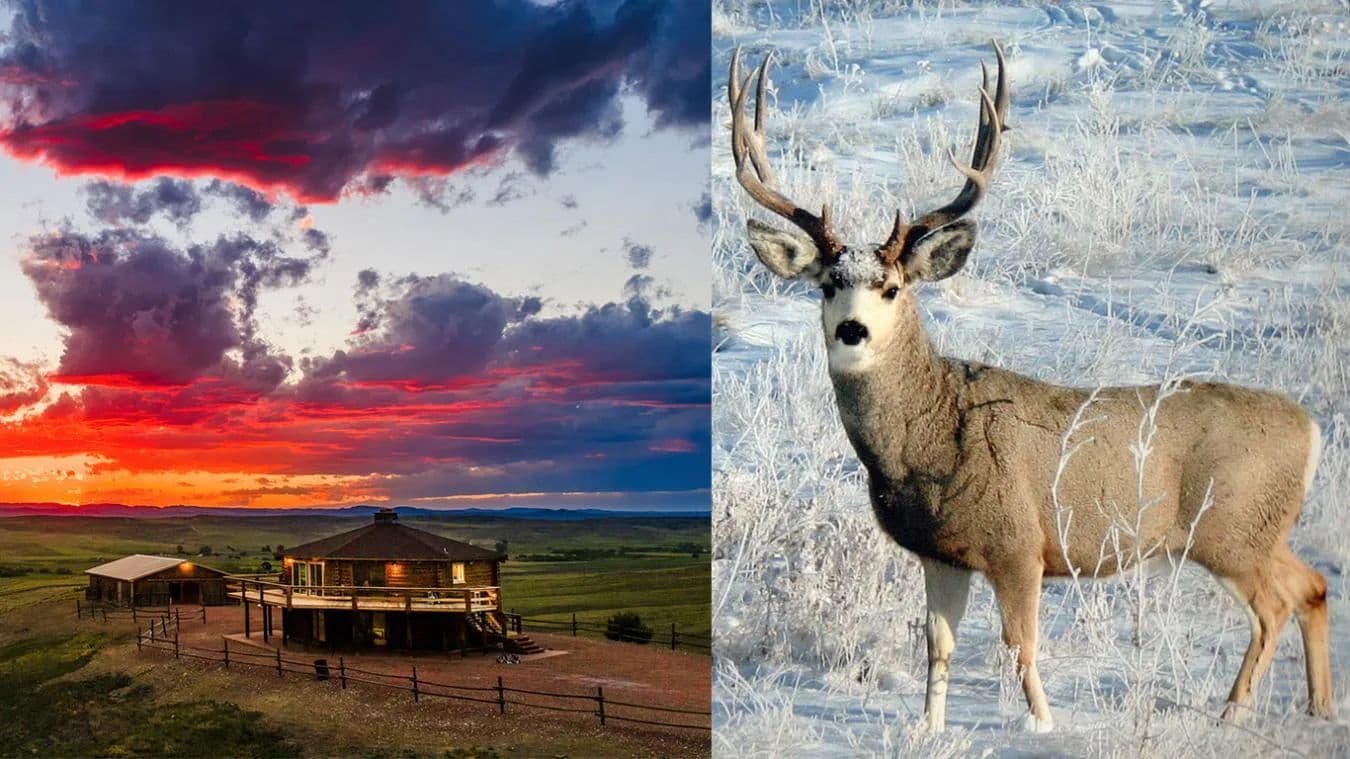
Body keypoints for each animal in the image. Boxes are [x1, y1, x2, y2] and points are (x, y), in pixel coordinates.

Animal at [727, 41, 1332, 732]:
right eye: (829, 283)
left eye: (893, 287)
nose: (853, 330)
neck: (930, 438)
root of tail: (1311, 430)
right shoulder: (941, 553)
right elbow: (938, 645)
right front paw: (929, 729)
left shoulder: (1019, 543)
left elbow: (1020, 644)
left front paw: (1042, 724)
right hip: (1255, 529)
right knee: (1313, 586)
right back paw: (1318, 708)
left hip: (1231, 527)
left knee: (1276, 605)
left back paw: (1234, 711)